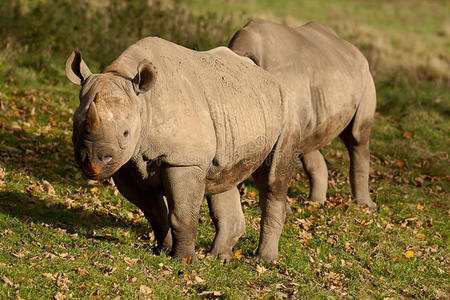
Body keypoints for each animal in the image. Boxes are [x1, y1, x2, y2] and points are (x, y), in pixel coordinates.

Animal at [67, 38, 300, 262]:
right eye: (75, 126)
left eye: (125, 133)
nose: (93, 163)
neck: (143, 102)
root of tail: (270, 77)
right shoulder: (125, 164)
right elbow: (155, 213)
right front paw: (163, 250)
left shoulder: (183, 160)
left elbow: (181, 215)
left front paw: (183, 260)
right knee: (223, 178)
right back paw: (219, 258)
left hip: (287, 108)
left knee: (273, 180)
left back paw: (264, 260)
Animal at [230, 19, 378, 210]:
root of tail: (356, 51)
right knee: (310, 142)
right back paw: (315, 203)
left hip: (366, 77)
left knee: (357, 136)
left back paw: (366, 206)